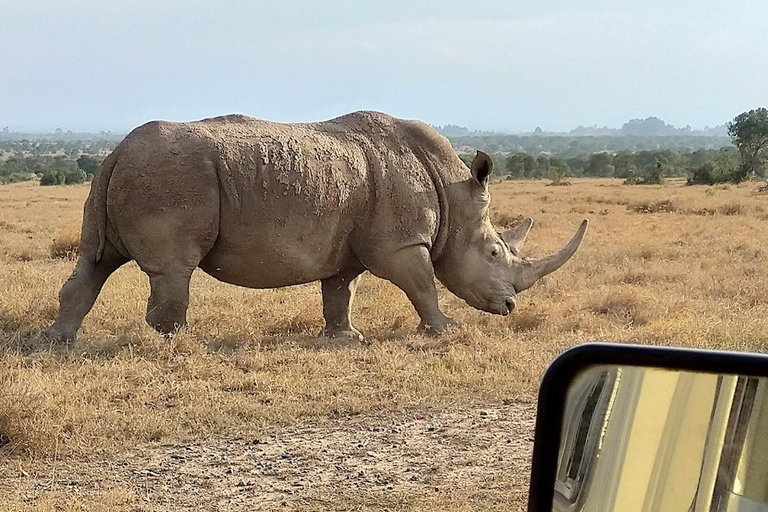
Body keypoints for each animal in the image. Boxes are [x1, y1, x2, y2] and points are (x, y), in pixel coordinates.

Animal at [46, 110, 588, 342]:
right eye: (494, 253)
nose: (510, 307)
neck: (453, 196)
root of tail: (116, 149)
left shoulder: (347, 244)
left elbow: (340, 290)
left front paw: (346, 338)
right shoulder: (400, 243)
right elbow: (423, 285)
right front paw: (444, 330)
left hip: (130, 175)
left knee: (96, 260)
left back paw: (59, 340)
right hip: (172, 176)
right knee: (173, 269)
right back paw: (178, 342)